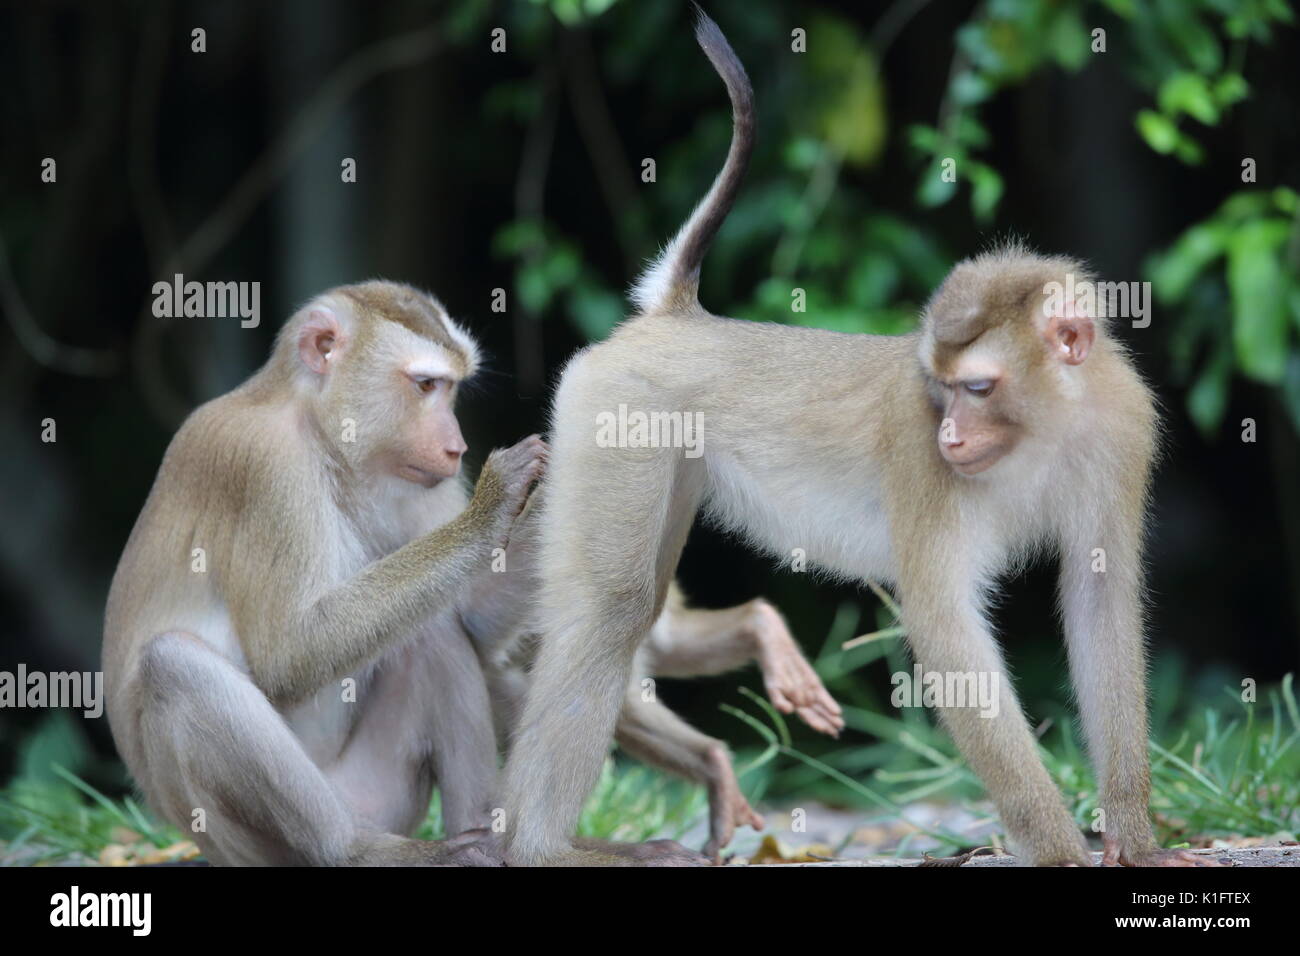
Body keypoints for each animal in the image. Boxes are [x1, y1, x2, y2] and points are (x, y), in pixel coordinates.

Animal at [103, 280, 546, 866]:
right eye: (426, 385)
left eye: (450, 389)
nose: (456, 447)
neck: (322, 437)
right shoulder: (263, 465)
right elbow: (289, 655)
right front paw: (491, 508)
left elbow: (473, 621)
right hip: (264, 841)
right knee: (174, 665)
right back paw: (357, 849)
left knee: (433, 634)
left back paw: (484, 834)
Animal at [499, 9, 1219, 867]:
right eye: (940, 390)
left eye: (977, 388)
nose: (951, 437)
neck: (1048, 425)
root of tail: (675, 319)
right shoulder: (918, 452)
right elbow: (946, 628)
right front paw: (1057, 849)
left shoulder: (1121, 435)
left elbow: (1100, 601)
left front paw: (1134, 837)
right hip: (615, 417)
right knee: (612, 606)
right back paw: (540, 847)